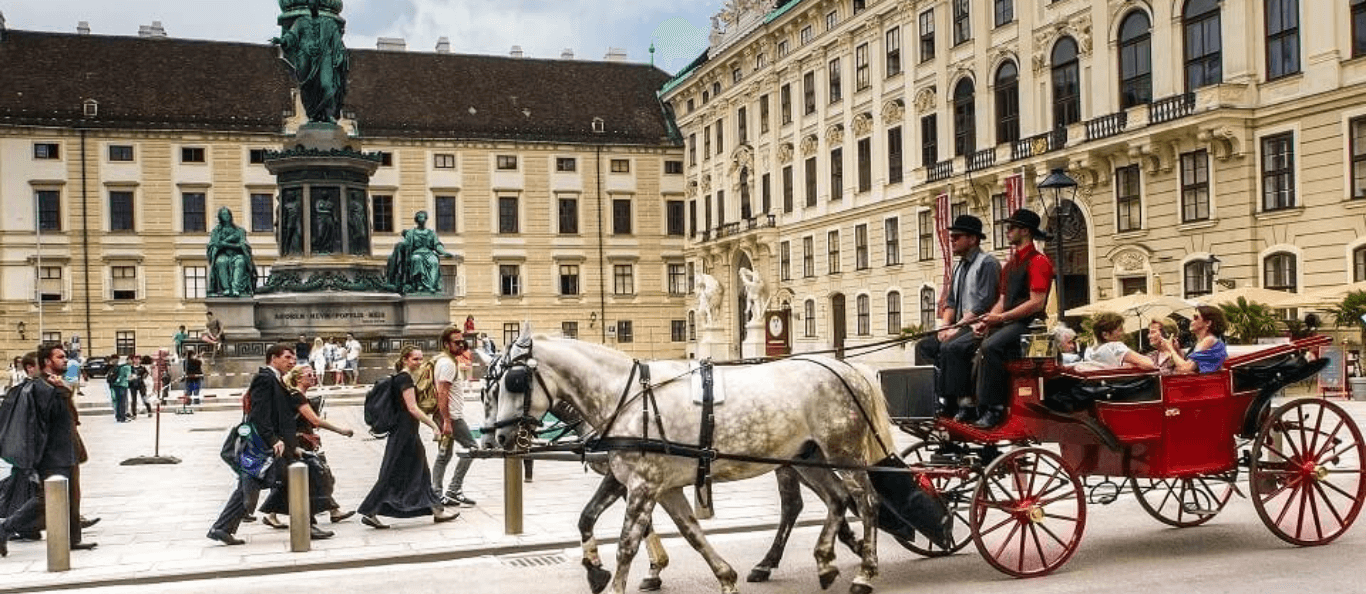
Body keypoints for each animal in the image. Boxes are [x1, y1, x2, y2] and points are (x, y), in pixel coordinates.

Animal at [486, 330, 890, 594]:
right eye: (489, 390)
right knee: (836, 499)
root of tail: (848, 369)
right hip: (806, 456)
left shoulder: (645, 484)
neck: (627, 397)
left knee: (866, 502)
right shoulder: (646, 483)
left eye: (514, 381)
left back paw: (864, 571)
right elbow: (685, 530)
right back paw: (824, 560)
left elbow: (627, 543)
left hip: (843, 452)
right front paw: (723, 577)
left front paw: (621, 577)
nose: (498, 439)